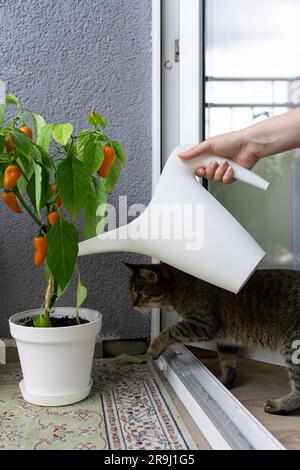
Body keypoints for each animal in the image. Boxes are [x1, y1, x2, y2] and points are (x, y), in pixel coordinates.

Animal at [125, 262, 300, 414]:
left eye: (140, 294)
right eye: (132, 293)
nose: (132, 305)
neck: (180, 285)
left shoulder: (202, 324)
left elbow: (168, 332)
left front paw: (152, 350)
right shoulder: (227, 340)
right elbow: (228, 363)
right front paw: (223, 384)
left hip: (293, 347)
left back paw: (280, 405)